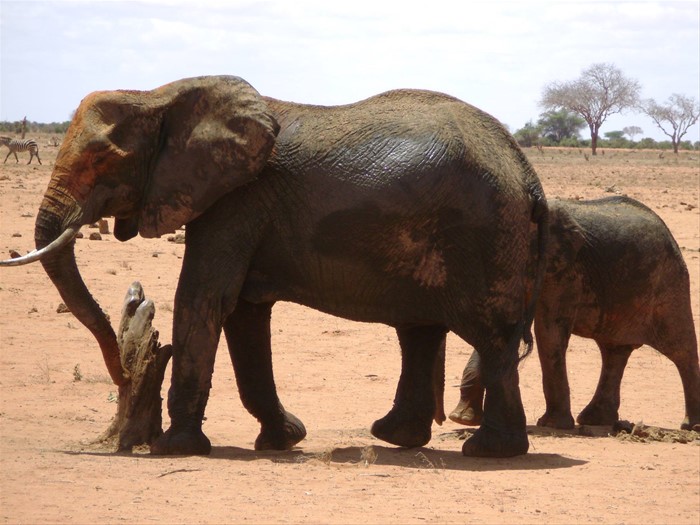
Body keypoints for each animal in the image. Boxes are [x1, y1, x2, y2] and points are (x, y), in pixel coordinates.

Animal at [1, 75, 548, 458]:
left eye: (102, 160)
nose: (122, 373)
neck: (160, 95)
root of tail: (527, 174)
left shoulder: (234, 200)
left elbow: (203, 298)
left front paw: (173, 448)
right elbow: (243, 312)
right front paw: (284, 439)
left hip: (483, 235)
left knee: (491, 337)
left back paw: (489, 451)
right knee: (421, 330)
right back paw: (396, 436)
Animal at [448, 196, 700, 430]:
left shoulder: (563, 270)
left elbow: (549, 332)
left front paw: (552, 425)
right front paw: (461, 419)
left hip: (670, 284)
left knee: (681, 349)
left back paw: (691, 426)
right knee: (614, 351)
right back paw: (595, 421)